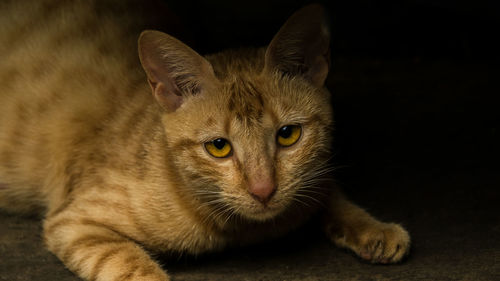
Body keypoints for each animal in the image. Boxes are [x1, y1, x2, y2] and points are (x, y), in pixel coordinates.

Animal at [0, 1, 410, 278]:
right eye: (219, 147)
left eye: (288, 135)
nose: (263, 190)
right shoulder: (75, 222)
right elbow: (133, 267)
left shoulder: (308, 179)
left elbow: (326, 191)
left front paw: (372, 227)